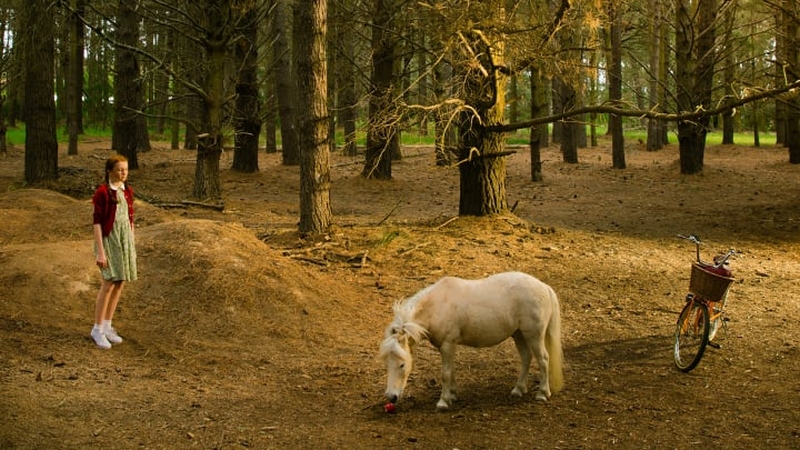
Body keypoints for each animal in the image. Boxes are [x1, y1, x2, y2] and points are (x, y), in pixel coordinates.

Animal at [380, 270, 564, 412]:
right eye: (387, 363)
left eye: (402, 364)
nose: (391, 397)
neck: (437, 305)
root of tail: (544, 287)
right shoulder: (447, 347)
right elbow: (451, 370)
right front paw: (452, 395)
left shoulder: (447, 345)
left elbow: (445, 373)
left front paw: (443, 402)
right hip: (519, 334)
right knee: (526, 357)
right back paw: (518, 389)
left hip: (534, 335)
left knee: (543, 359)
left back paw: (542, 393)